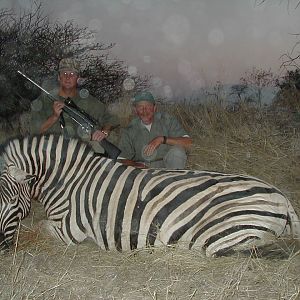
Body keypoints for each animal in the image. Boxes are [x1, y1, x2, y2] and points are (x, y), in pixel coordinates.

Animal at [0, 135, 298, 256]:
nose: (2, 248)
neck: (70, 182)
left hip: (221, 237)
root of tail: (282, 196)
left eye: (12, 202)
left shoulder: (70, 231)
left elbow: (38, 227)